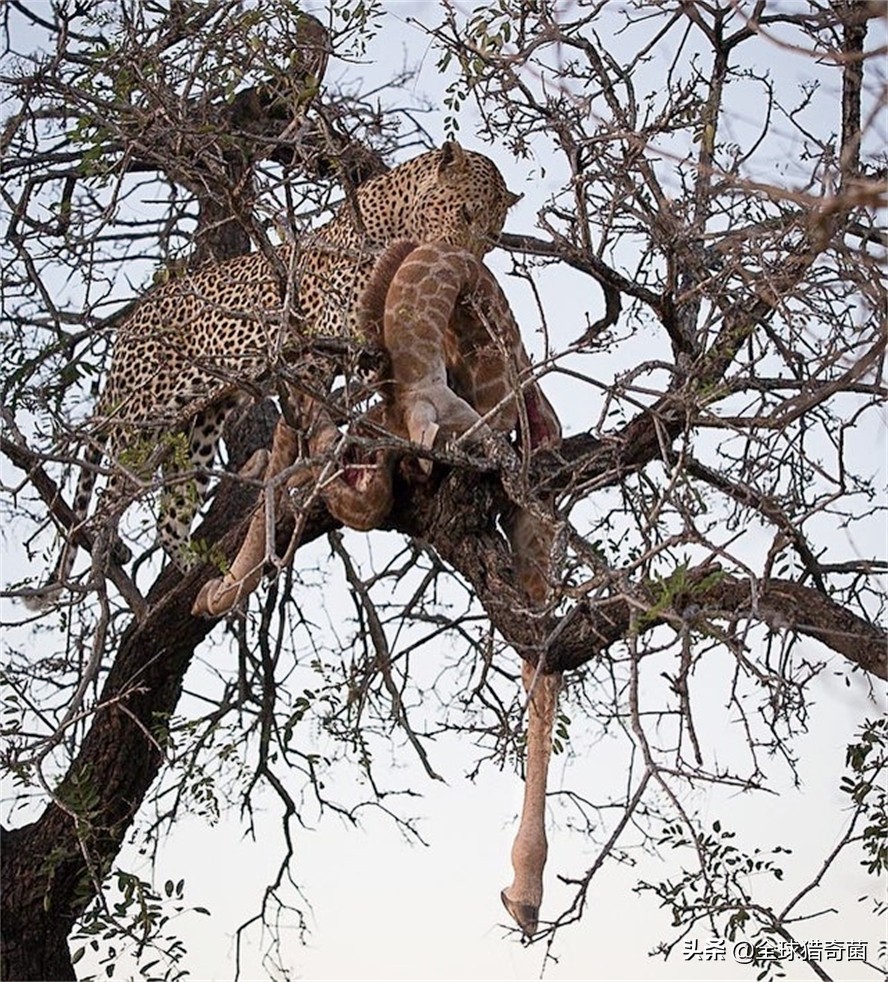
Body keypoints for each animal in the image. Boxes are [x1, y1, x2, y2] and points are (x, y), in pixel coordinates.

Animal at [31, 141, 520, 604]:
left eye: (493, 235)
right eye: (465, 212)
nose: (466, 258)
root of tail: (128, 325)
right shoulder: (330, 340)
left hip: (199, 425)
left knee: (170, 515)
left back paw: (196, 575)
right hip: (144, 413)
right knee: (111, 489)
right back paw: (108, 549)